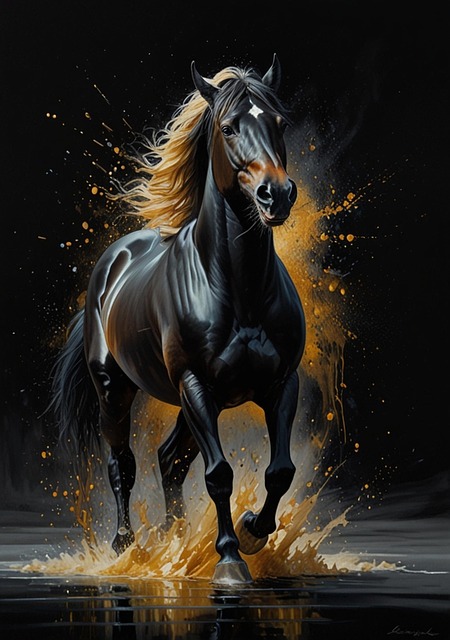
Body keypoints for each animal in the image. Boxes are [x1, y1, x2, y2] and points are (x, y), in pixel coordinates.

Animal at [50, 54, 306, 585]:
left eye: (279, 123)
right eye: (228, 128)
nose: (276, 195)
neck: (239, 290)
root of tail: (114, 260)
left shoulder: (280, 385)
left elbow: (280, 471)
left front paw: (252, 531)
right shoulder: (194, 383)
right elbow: (219, 474)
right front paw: (229, 558)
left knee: (169, 461)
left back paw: (176, 542)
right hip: (117, 392)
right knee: (123, 464)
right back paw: (127, 547)